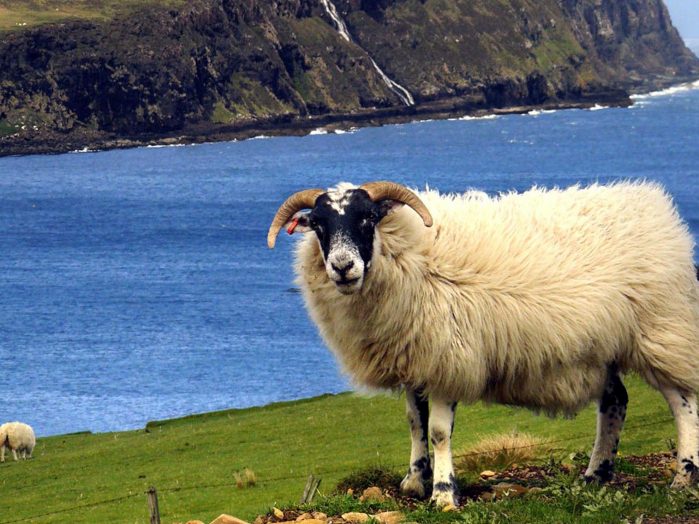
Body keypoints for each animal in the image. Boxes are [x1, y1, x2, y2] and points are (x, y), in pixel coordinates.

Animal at [266, 181, 699, 508]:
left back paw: (683, 475)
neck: (411, 254)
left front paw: (443, 494)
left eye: (368, 217)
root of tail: (655, 207)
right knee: (615, 401)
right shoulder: (415, 355)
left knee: (682, 402)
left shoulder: (447, 358)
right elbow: (414, 422)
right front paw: (415, 480)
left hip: (660, 329)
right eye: (318, 225)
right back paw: (595, 475)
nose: (342, 267)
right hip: (602, 347)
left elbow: (439, 431)